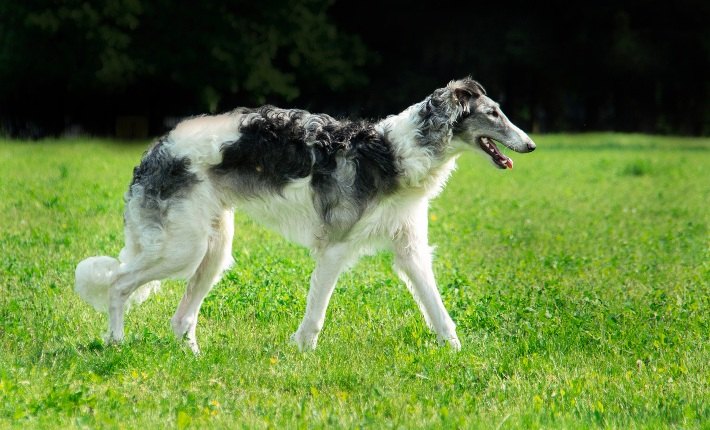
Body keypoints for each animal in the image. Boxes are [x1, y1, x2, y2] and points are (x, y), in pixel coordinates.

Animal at [75, 77, 536, 352]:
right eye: (493, 113)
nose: (530, 145)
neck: (396, 153)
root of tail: (156, 149)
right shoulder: (335, 248)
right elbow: (315, 317)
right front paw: (303, 354)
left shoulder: (410, 249)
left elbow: (439, 312)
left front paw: (459, 355)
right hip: (182, 250)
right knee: (118, 284)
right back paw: (115, 343)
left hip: (213, 250)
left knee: (180, 318)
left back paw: (192, 359)